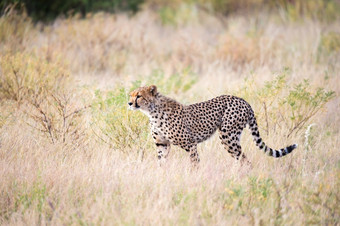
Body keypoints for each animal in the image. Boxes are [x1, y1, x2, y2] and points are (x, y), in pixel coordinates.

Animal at [129, 85, 296, 165]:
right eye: (131, 95)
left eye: (139, 96)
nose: (129, 103)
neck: (152, 112)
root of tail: (242, 100)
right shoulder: (162, 144)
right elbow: (161, 162)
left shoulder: (190, 143)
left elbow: (194, 163)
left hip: (227, 135)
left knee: (244, 160)